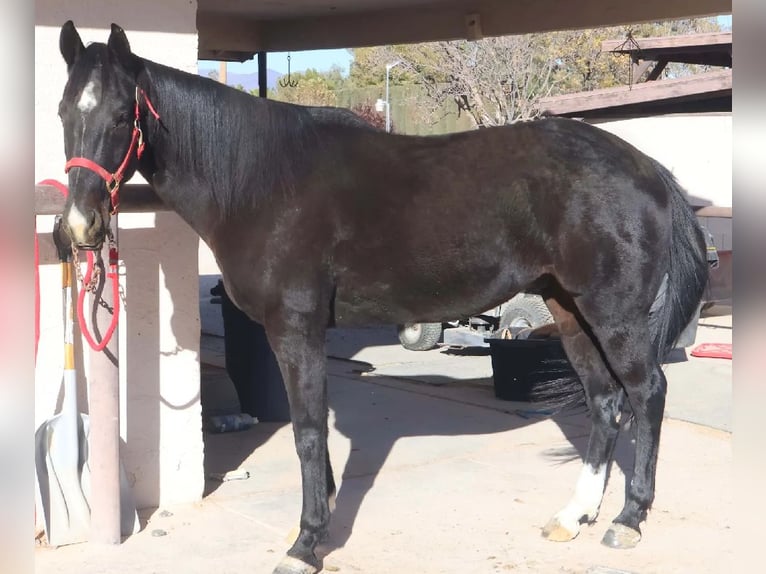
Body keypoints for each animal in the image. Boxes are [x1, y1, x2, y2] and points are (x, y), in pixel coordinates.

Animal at [58, 22, 708, 574]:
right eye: (64, 110)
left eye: (122, 114)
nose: (81, 227)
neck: (262, 181)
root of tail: (648, 168)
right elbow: (313, 428)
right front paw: (318, 523)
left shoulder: (295, 327)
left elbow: (307, 429)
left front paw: (306, 543)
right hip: (569, 309)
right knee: (604, 400)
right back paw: (575, 516)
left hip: (613, 314)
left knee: (647, 393)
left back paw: (628, 518)